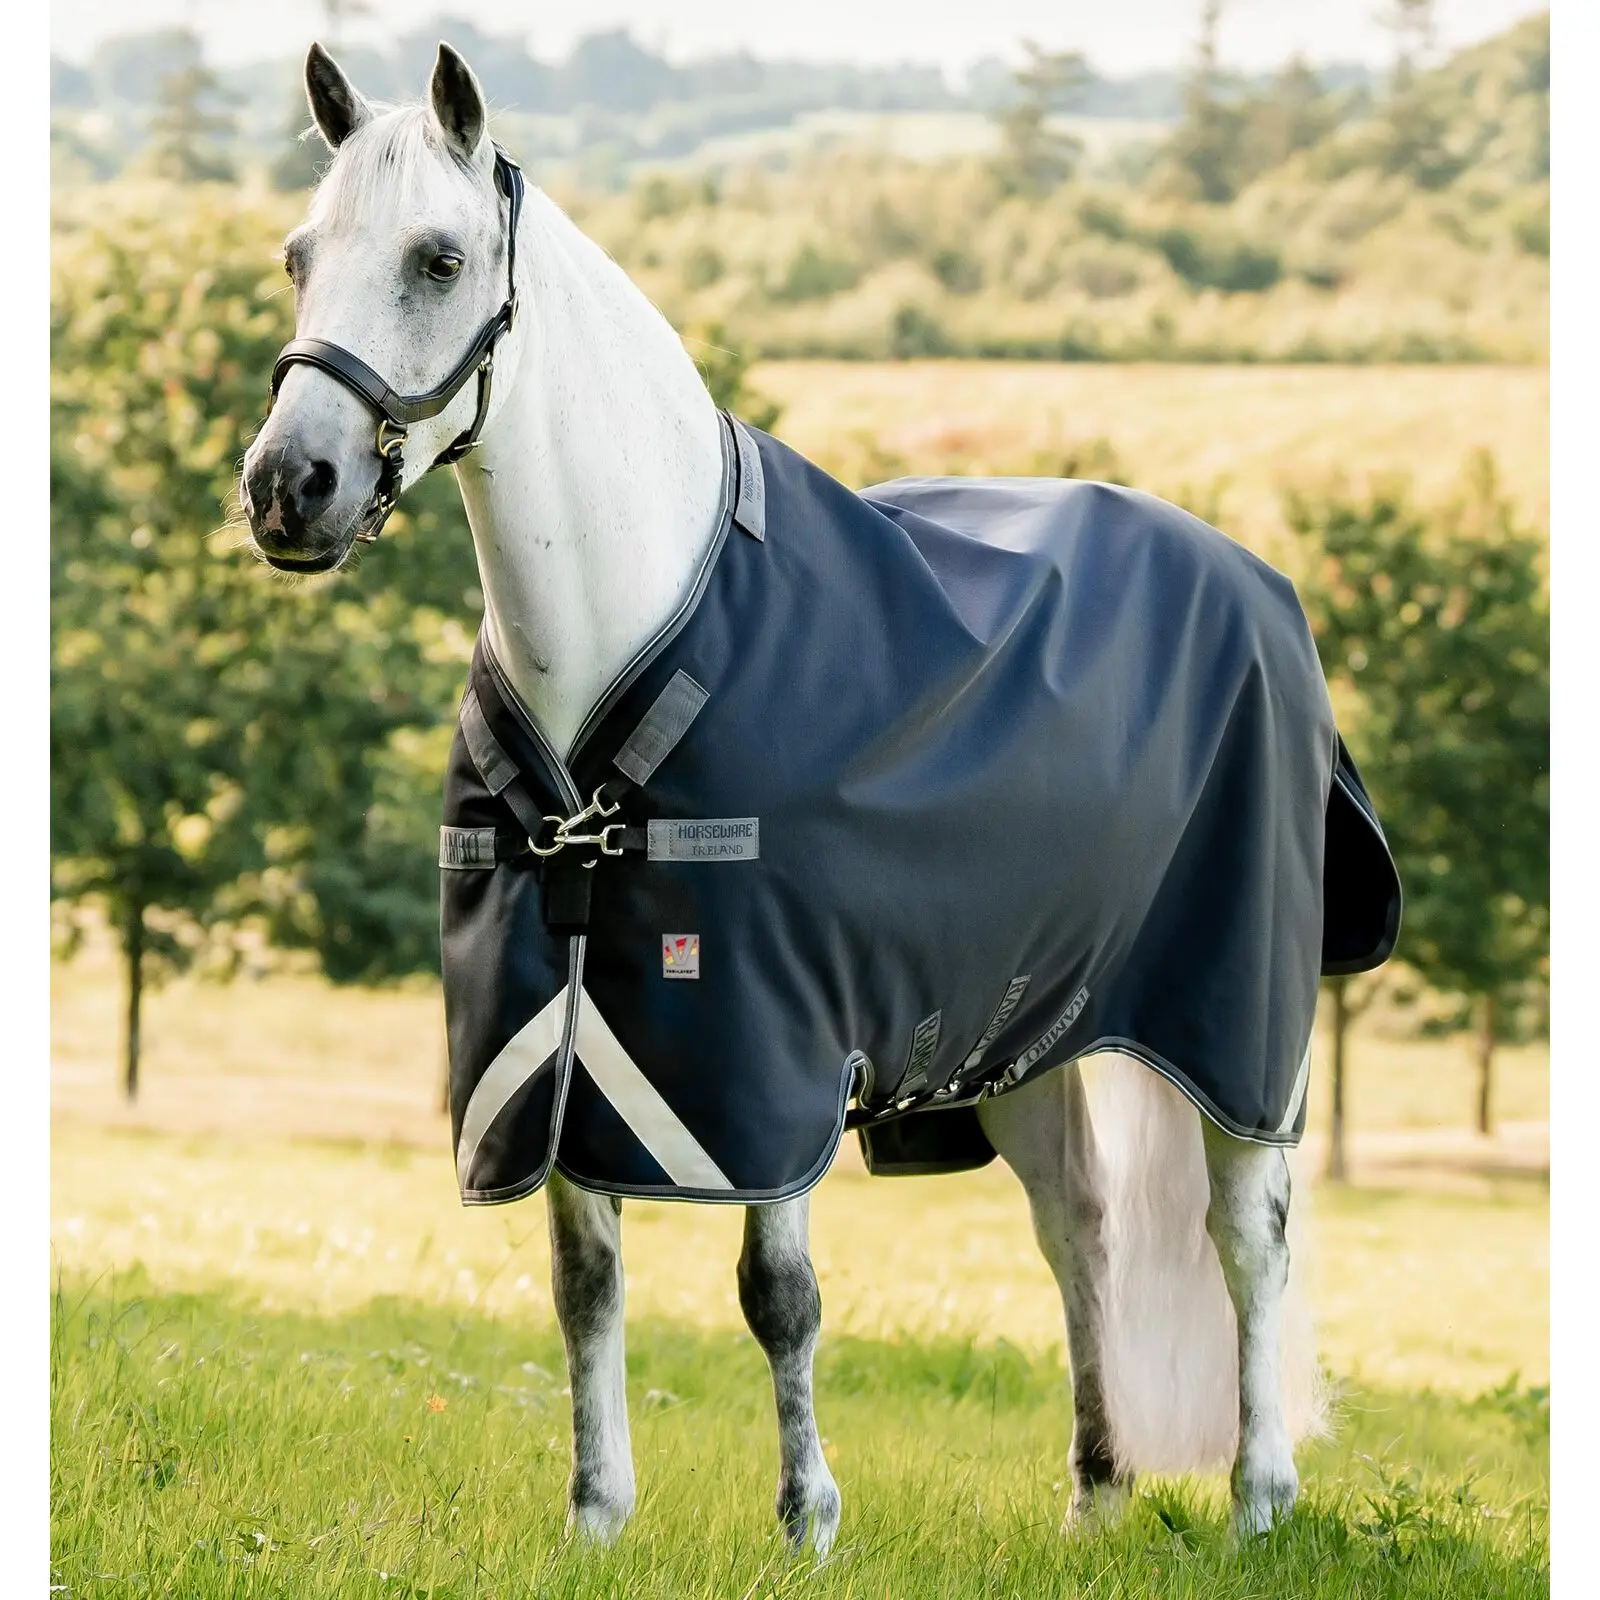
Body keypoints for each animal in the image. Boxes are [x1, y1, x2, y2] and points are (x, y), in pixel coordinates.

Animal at [241, 41, 1389, 1557]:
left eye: (437, 259)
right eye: (300, 257)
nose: (287, 487)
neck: (630, 634)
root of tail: (1256, 582)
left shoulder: (766, 1044)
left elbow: (777, 1297)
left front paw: (806, 1521)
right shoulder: (563, 1030)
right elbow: (583, 1282)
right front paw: (596, 1519)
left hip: (1241, 1029)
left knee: (1246, 1237)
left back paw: (1261, 1493)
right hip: (1035, 1025)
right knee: (1079, 1230)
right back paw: (1095, 1493)